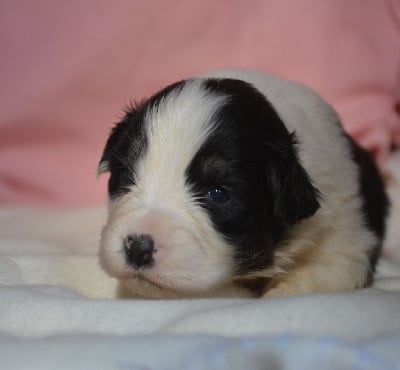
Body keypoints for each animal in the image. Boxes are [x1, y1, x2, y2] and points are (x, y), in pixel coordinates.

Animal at [96, 69, 388, 300]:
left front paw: (278, 292)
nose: (137, 248)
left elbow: (317, 274)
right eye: (126, 175)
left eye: (216, 194)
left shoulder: (348, 242)